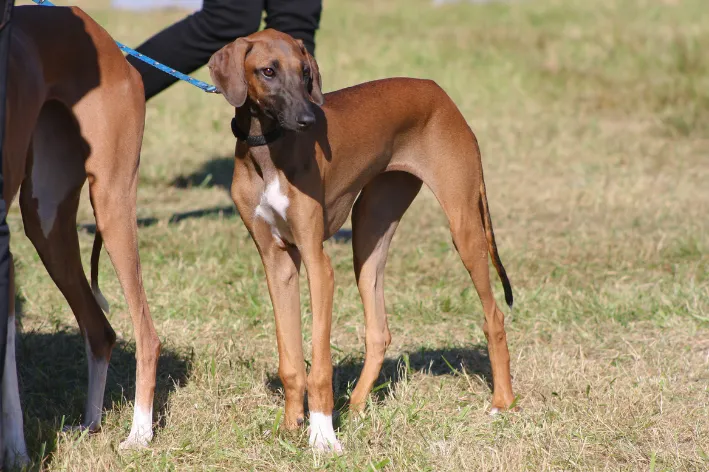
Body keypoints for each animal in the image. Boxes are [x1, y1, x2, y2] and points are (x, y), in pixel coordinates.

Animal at [2, 6, 160, 464]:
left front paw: (17, 456)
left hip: (110, 201)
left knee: (146, 333)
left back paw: (139, 434)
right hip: (46, 221)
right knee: (100, 331)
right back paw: (91, 423)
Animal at [209, 27, 516, 452]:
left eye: (305, 71)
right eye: (268, 70)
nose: (308, 119)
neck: (268, 149)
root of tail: (438, 92)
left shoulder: (317, 263)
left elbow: (319, 364)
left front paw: (322, 436)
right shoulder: (277, 262)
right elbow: (291, 361)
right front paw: (290, 427)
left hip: (465, 227)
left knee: (494, 316)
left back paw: (502, 401)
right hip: (369, 233)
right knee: (379, 332)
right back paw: (355, 407)